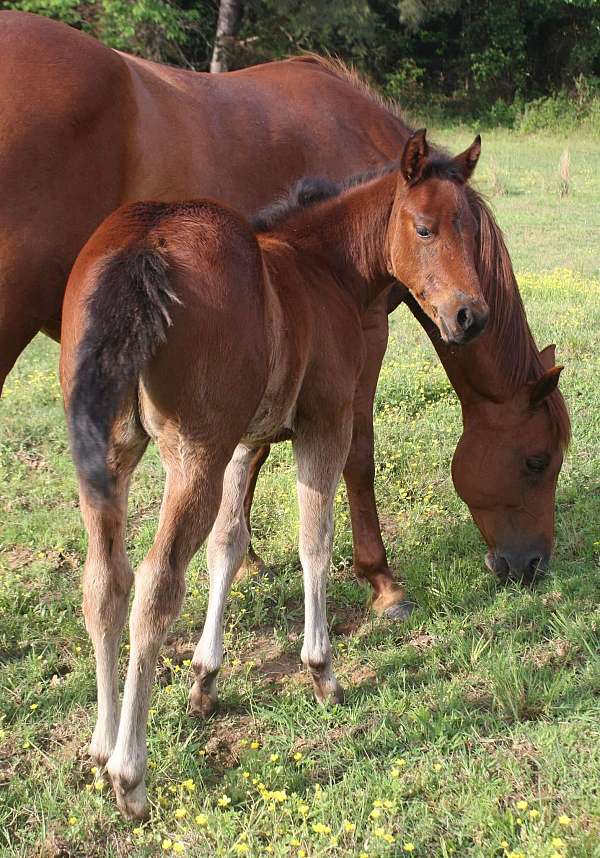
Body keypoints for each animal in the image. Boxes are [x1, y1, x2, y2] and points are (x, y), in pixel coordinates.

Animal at [1, 10, 568, 604]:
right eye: (537, 461)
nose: (533, 564)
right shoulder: (364, 332)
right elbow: (358, 452)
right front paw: (381, 579)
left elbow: (252, 453)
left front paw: (243, 559)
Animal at [59, 135, 488, 816]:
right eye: (424, 227)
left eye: (473, 230)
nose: (471, 316)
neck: (321, 267)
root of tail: (142, 243)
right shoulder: (323, 424)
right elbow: (315, 540)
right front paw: (322, 670)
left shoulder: (242, 444)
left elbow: (229, 546)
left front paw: (206, 678)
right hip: (192, 457)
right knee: (155, 586)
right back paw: (130, 774)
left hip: (111, 457)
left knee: (105, 582)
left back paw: (102, 745)